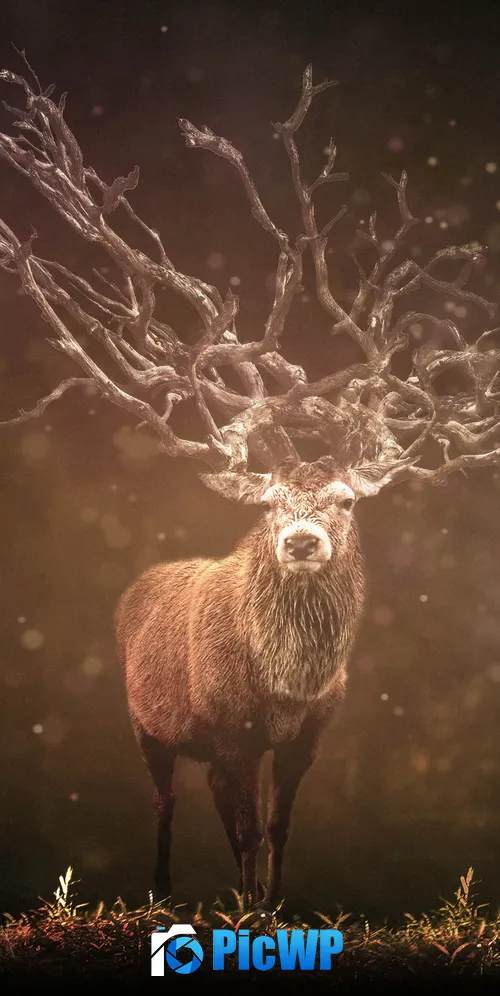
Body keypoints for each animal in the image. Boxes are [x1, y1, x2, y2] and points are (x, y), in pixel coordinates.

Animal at [0, 63, 499, 907]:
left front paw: (273, 903)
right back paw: (162, 891)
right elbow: (238, 828)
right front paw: (242, 909)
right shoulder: (226, 729)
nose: (301, 539)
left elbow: (276, 824)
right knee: (167, 800)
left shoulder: (304, 737)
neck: (286, 685)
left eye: (346, 499)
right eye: (268, 503)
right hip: (147, 723)